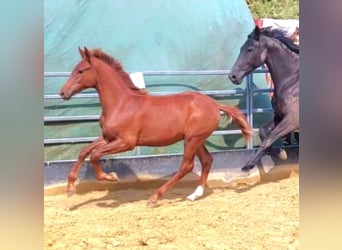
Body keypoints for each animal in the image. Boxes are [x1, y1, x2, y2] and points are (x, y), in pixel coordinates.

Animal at [230, 26, 300, 173]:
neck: (292, 83)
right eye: (241, 48)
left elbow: (270, 138)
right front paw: (279, 152)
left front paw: (248, 165)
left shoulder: (292, 121)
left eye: (249, 49)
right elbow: (264, 132)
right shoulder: (279, 116)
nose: (232, 76)